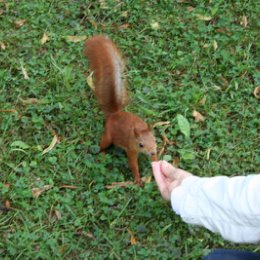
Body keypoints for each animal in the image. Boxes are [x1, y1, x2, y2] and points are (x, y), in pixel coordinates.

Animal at [84, 35, 156, 185]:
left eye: (155, 139)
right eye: (140, 144)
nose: (152, 152)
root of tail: (114, 115)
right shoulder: (130, 148)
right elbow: (133, 164)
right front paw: (137, 179)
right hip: (108, 136)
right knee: (102, 144)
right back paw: (103, 153)